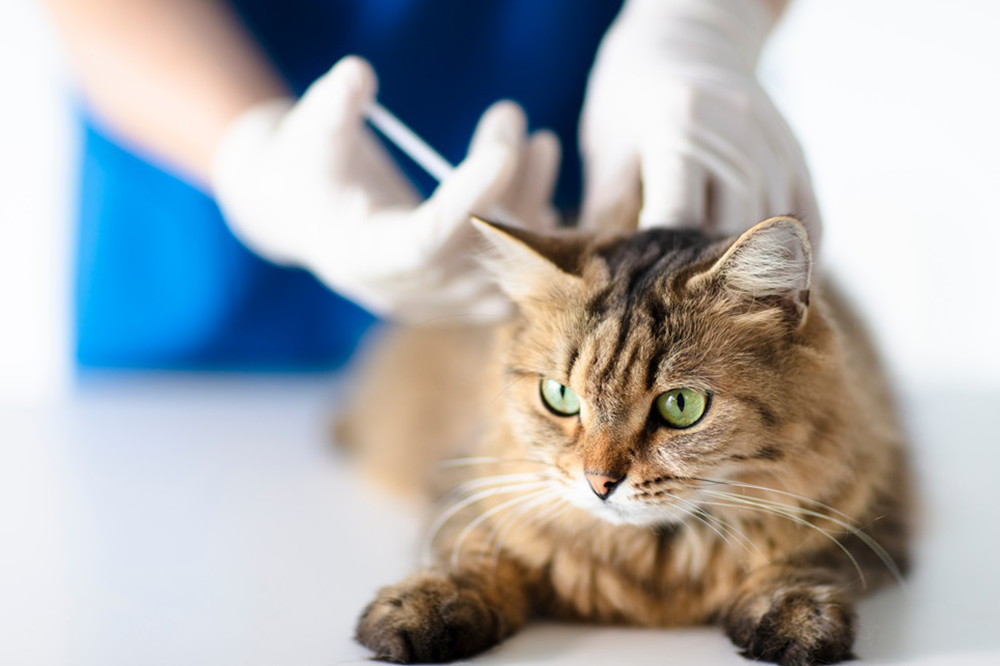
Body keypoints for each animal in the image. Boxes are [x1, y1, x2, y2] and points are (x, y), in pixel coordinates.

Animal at [344, 215, 916, 660]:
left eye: (681, 405)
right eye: (559, 395)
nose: (599, 483)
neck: (653, 559)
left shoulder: (877, 511)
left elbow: (805, 558)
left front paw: (795, 615)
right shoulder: (467, 485)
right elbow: (471, 552)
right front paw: (424, 605)